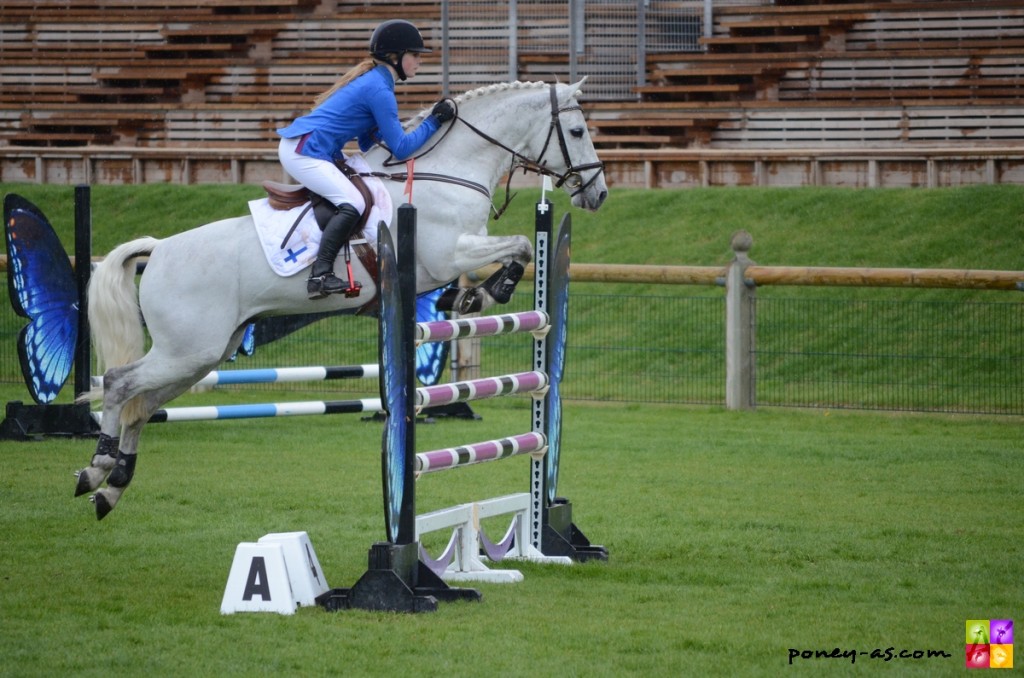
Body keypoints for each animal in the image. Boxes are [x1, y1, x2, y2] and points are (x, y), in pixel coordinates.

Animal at [75, 80, 602, 524]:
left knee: (141, 406)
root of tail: (160, 248)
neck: (448, 172)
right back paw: (96, 467)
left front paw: (471, 294)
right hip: (187, 350)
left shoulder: (442, 264)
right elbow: (519, 245)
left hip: (202, 355)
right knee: (120, 386)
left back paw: (111, 488)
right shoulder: (448, 252)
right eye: (577, 131)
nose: (597, 193)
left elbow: (503, 257)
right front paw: (489, 291)